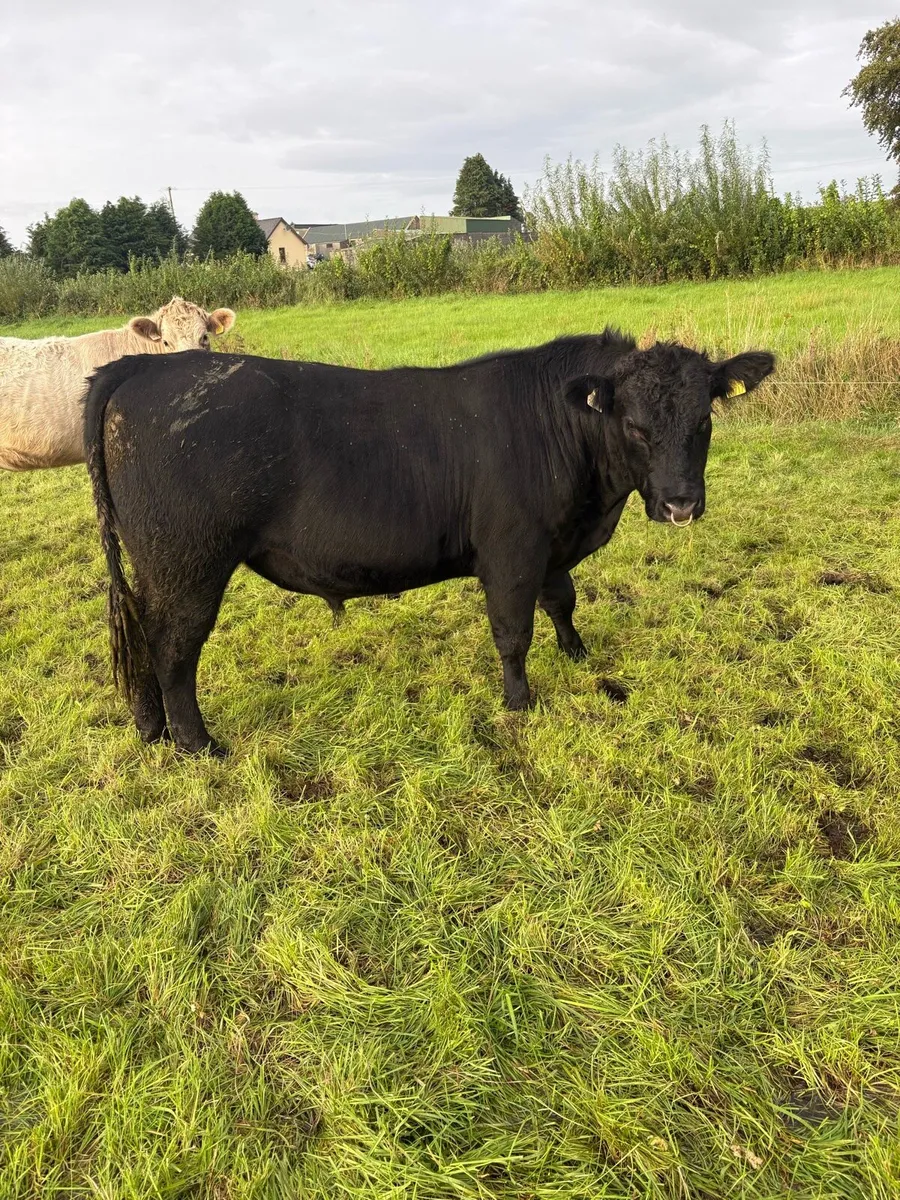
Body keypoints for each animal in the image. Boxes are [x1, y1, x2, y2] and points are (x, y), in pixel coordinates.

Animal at [83, 331, 775, 755]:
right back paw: (198, 743)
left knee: (144, 638)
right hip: (188, 563)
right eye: (633, 425)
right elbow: (512, 633)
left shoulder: (550, 545)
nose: (681, 503)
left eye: (705, 418)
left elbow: (563, 600)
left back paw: (149, 728)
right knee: (174, 645)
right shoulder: (511, 552)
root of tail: (143, 365)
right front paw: (520, 702)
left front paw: (577, 653)